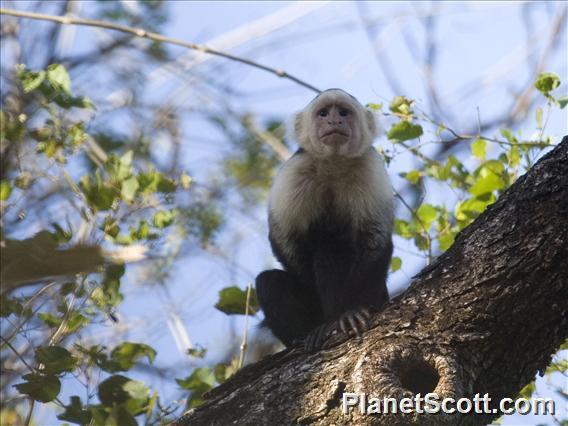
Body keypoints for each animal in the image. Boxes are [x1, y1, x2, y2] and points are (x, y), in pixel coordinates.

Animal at [255, 88, 392, 352]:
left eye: (344, 113)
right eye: (323, 113)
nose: (334, 121)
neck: (333, 165)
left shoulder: (370, 169)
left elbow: (375, 238)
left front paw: (353, 311)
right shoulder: (294, 174)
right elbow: (284, 239)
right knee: (269, 281)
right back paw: (310, 331)